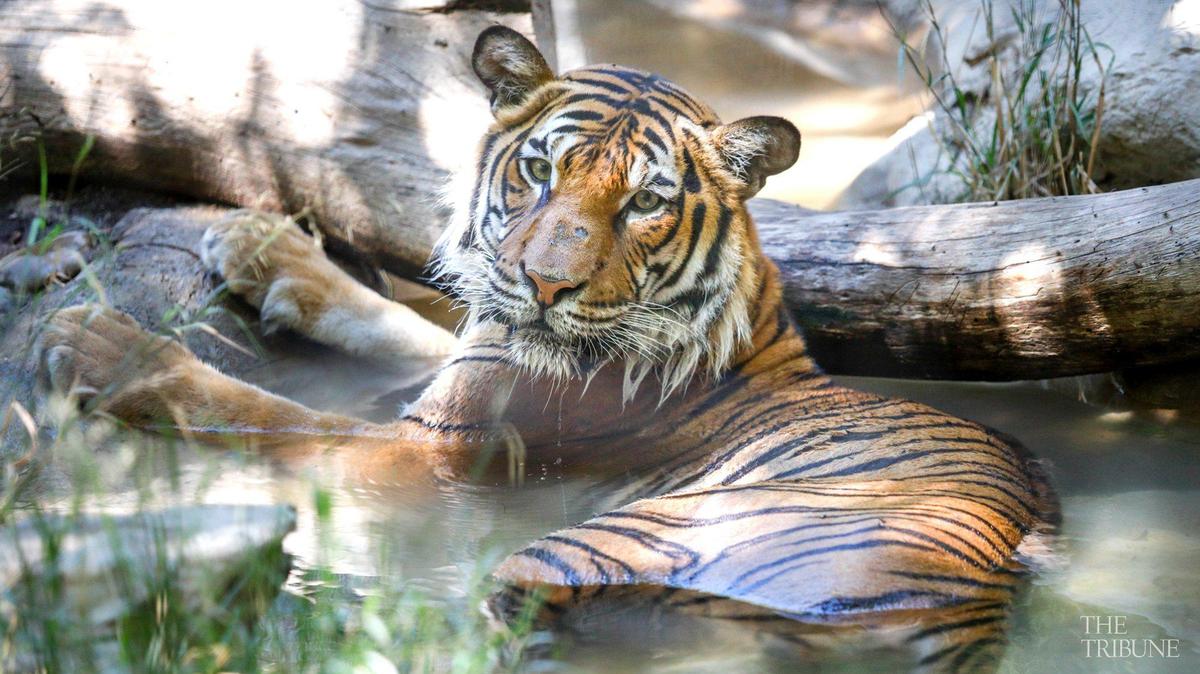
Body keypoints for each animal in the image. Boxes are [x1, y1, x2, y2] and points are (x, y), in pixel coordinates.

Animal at [37, 26, 1058, 672]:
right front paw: (261, 245)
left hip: (586, 548)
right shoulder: (466, 361)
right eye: (537, 171)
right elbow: (405, 323)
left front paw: (98, 343)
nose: (543, 285)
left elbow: (262, 412)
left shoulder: (430, 452)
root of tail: (976, 614)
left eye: (644, 202)